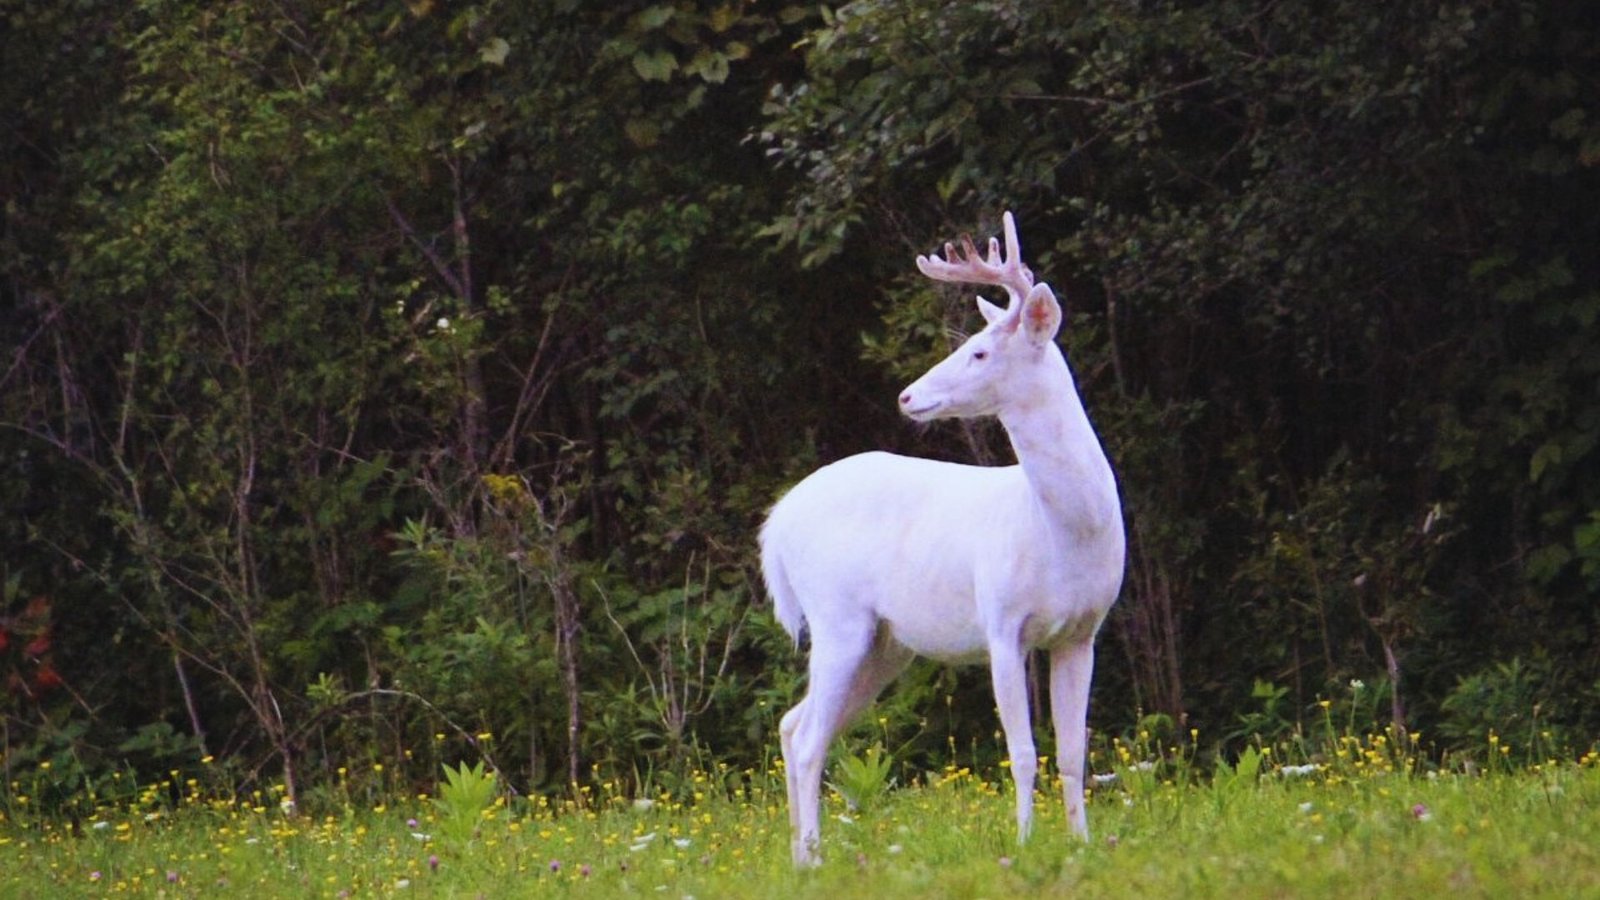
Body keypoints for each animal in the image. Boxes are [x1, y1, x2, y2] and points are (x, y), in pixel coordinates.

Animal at [759, 211, 1125, 867]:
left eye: (979, 349)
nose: (907, 395)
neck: (1062, 533)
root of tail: (777, 522)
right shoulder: (1001, 622)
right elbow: (1023, 752)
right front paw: (1025, 844)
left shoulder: (1083, 631)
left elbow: (1072, 751)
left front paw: (1083, 844)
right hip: (835, 615)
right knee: (807, 739)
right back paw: (814, 858)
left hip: (885, 645)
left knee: (794, 723)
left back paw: (800, 857)